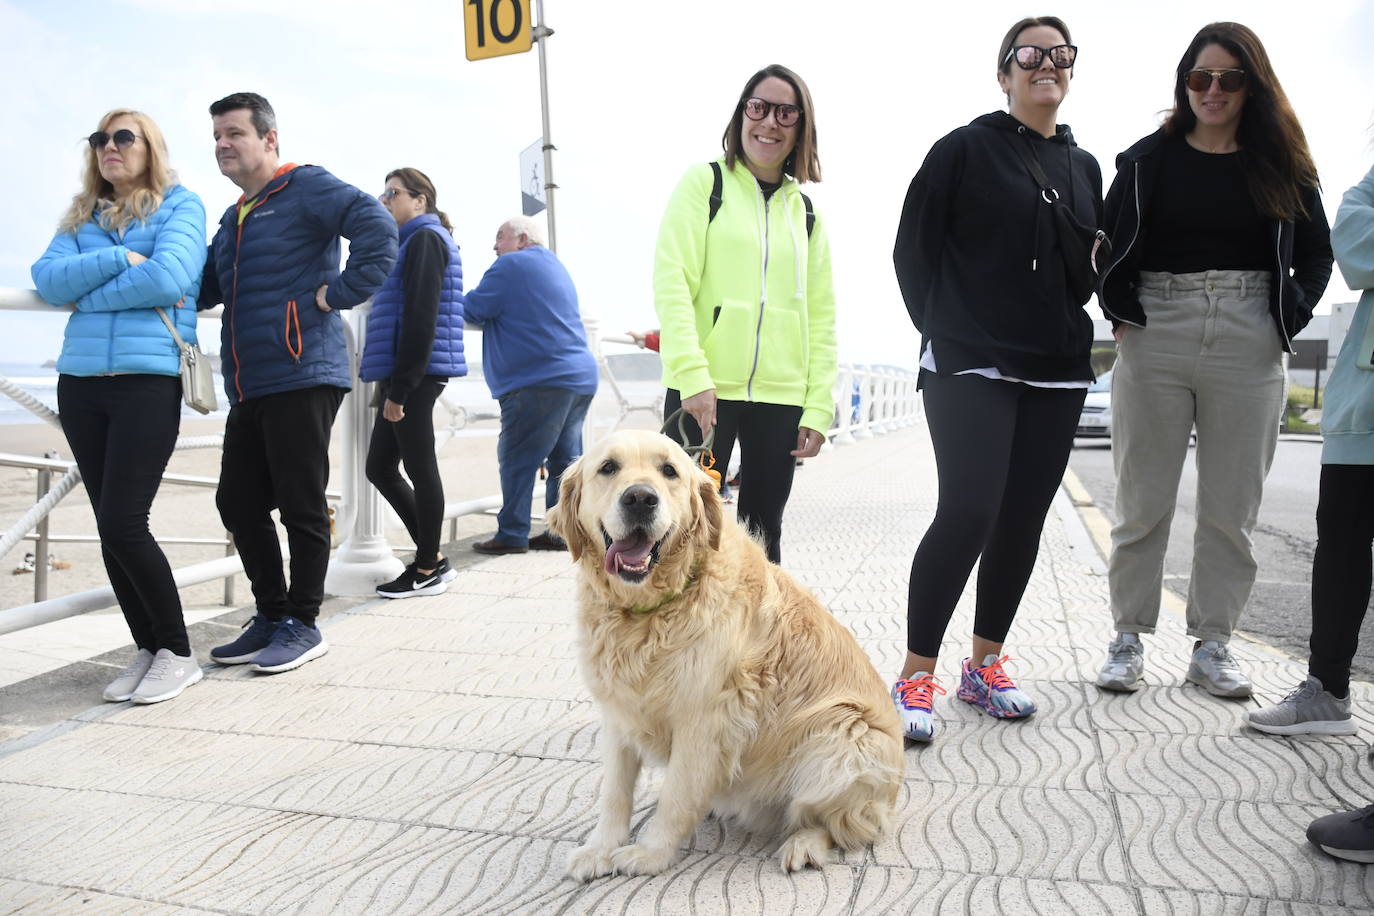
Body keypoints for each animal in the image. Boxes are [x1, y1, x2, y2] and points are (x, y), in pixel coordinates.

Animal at [552, 431, 906, 878]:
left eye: (669, 471)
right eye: (608, 468)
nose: (640, 499)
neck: (647, 613)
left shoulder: (706, 722)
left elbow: (676, 797)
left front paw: (649, 854)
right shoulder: (619, 713)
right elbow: (614, 792)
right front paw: (599, 849)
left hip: (846, 733)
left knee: (839, 823)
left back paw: (803, 844)